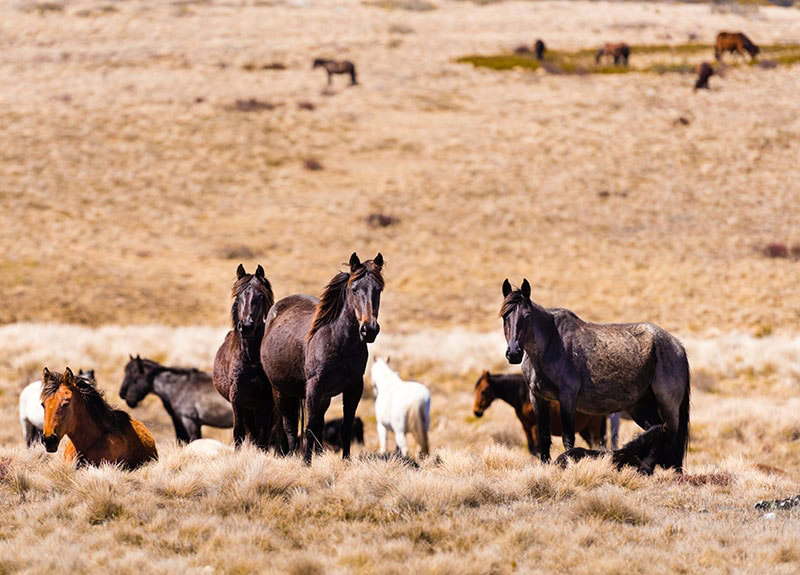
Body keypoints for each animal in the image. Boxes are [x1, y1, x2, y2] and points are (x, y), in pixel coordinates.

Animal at [213, 264, 276, 448]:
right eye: (238, 296)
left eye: (260, 296)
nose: (246, 326)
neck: (251, 359)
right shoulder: (237, 401)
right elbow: (239, 434)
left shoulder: (267, 403)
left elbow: (263, 437)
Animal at [261, 252, 384, 464]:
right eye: (354, 290)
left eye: (379, 289)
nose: (369, 330)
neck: (339, 342)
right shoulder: (313, 387)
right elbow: (309, 429)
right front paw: (306, 464)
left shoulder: (354, 388)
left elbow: (344, 428)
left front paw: (345, 462)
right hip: (280, 391)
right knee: (289, 426)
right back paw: (292, 456)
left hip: (322, 397)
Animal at [472, 371, 606, 455]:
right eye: (475, 390)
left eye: (483, 391)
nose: (477, 412)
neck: (524, 396)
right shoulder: (526, 426)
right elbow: (532, 449)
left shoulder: (535, 426)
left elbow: (538, 449)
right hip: (584, 430)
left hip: (593, 428)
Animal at [500, 279, 690, 472]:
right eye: (505, 316)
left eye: (527, 315)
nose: (514, 353)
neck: (550, 345)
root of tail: (677, 346)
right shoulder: (538, 397)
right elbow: (544, 437)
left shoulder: (567, 398)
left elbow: (568, 439)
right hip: (641, 407)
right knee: (657, 432)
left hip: (668, 406)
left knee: (672, 439)